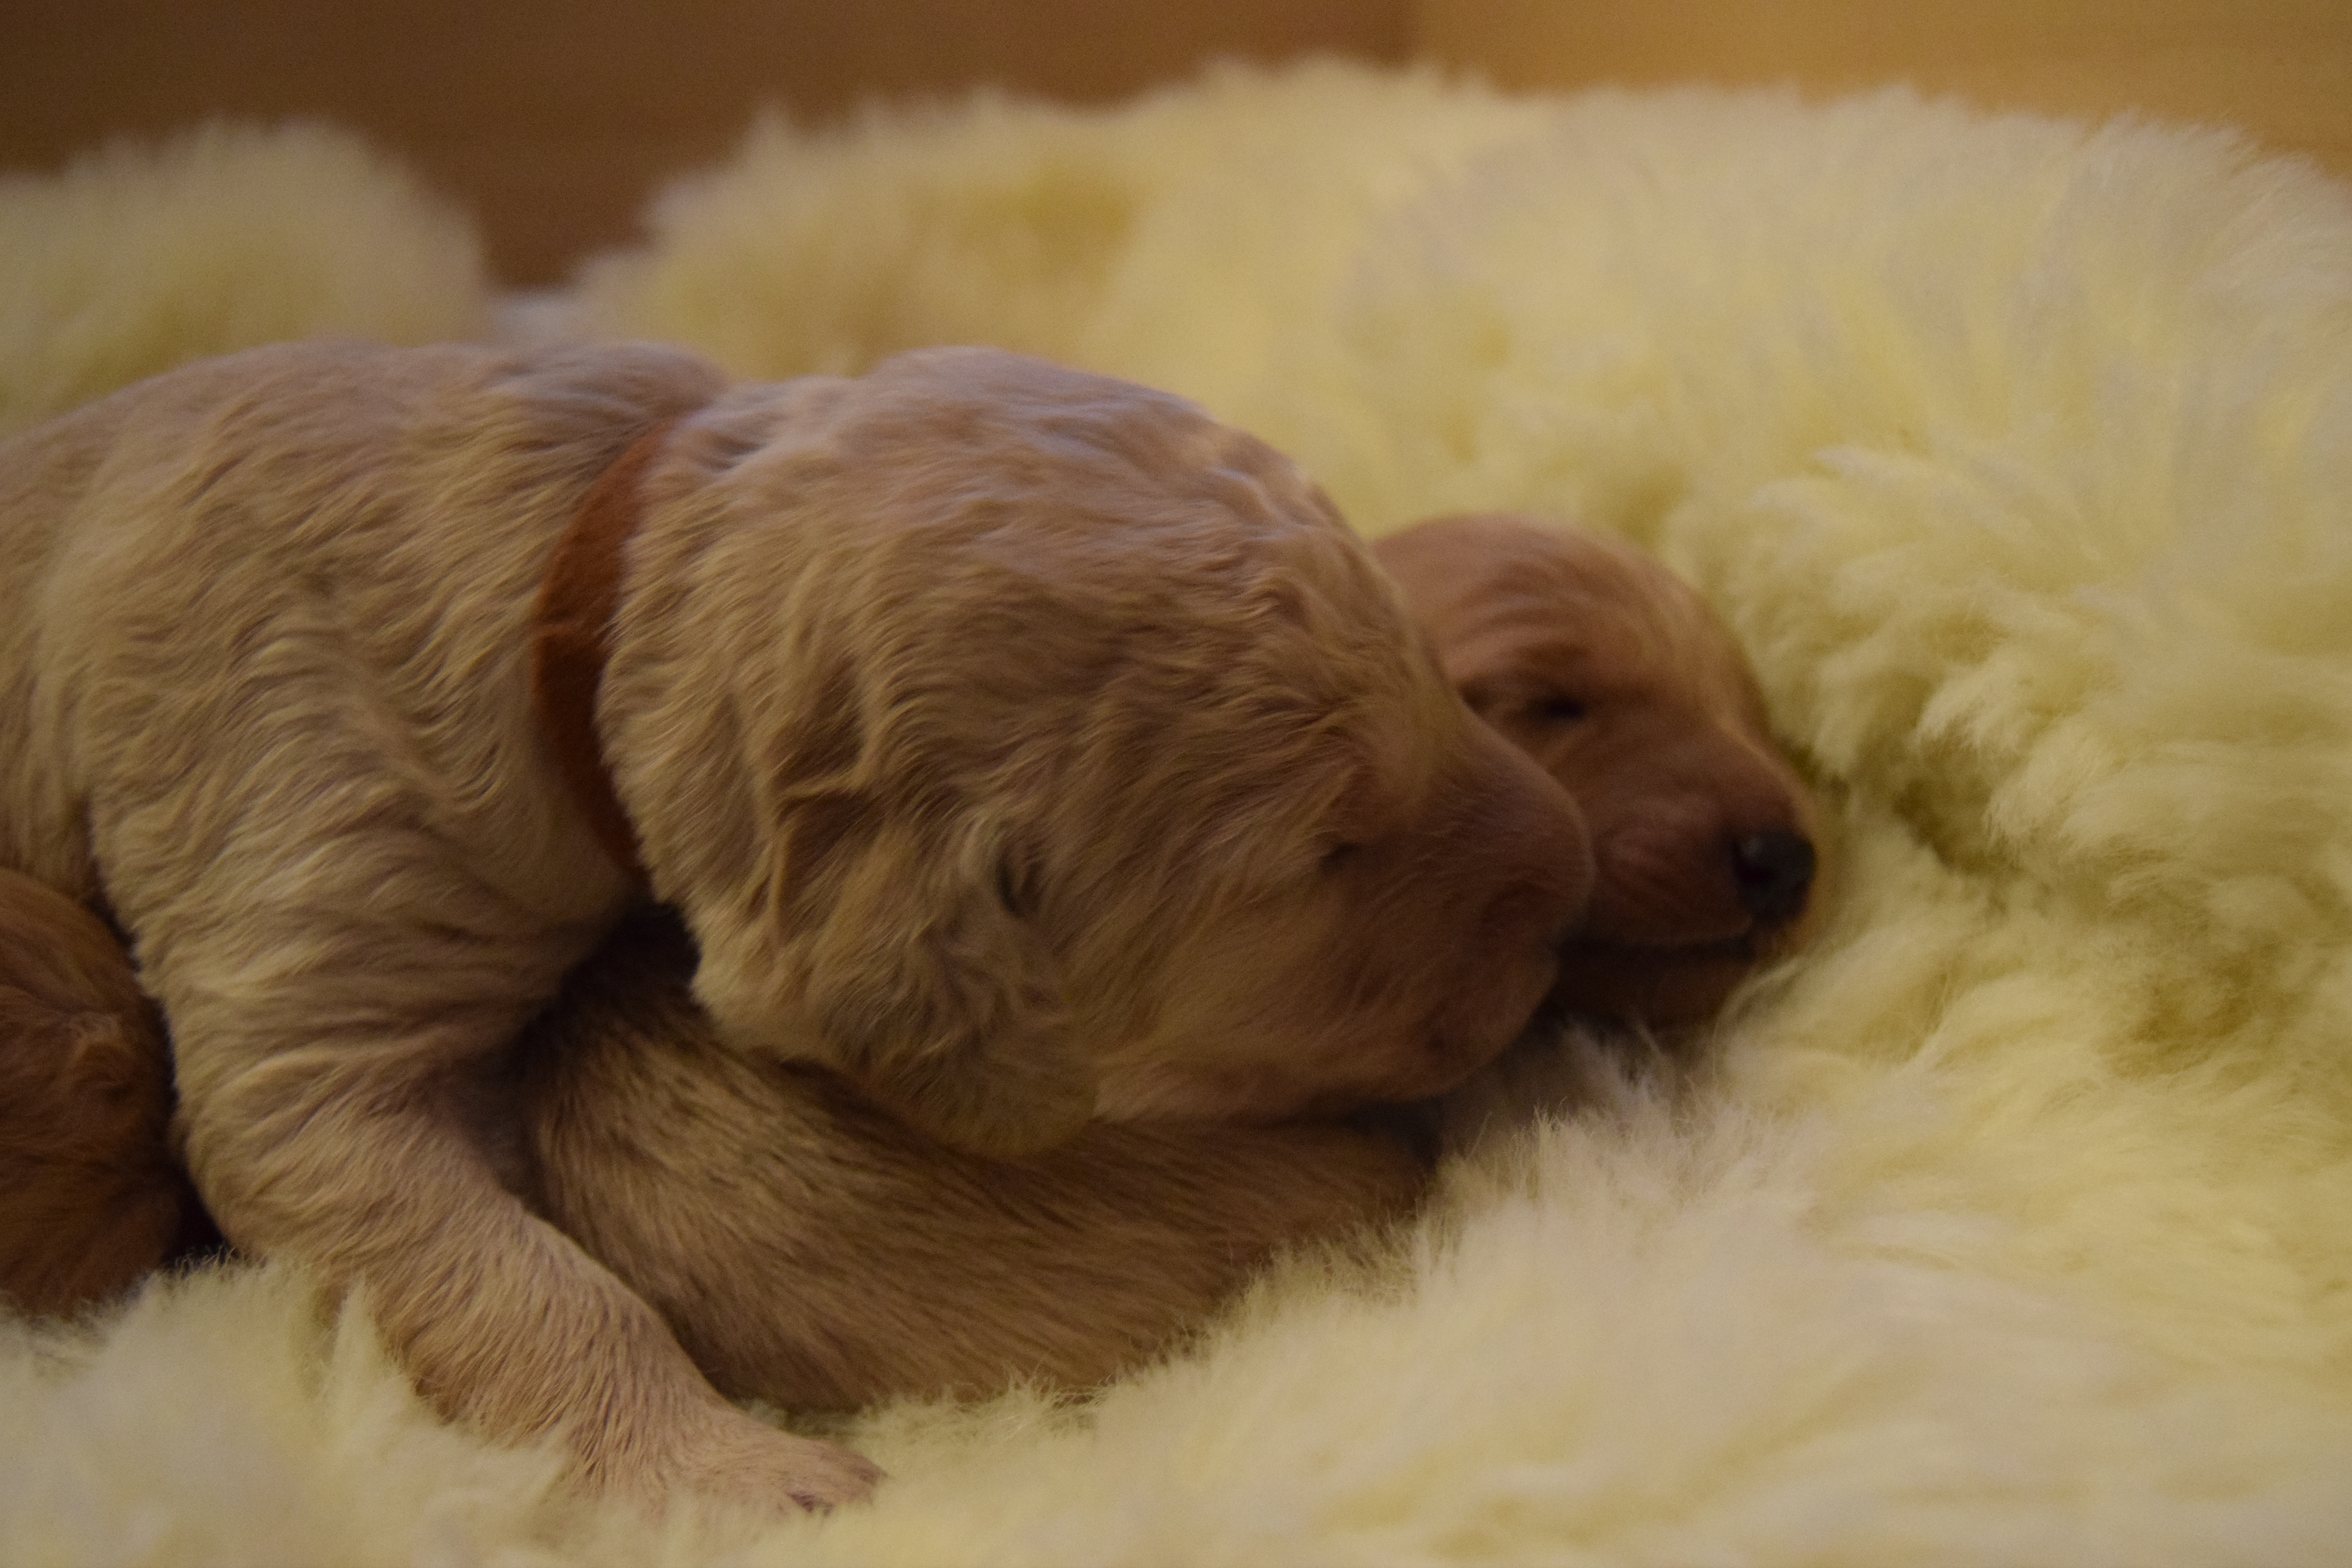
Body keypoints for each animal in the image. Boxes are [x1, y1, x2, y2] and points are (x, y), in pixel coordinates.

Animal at [0, 341, 1590, 1504]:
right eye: (1324, 852)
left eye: (1425, 667)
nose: (1572, 880)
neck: (586, 568)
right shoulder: (304, 940)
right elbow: (510, 1274)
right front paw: (727, 1472)